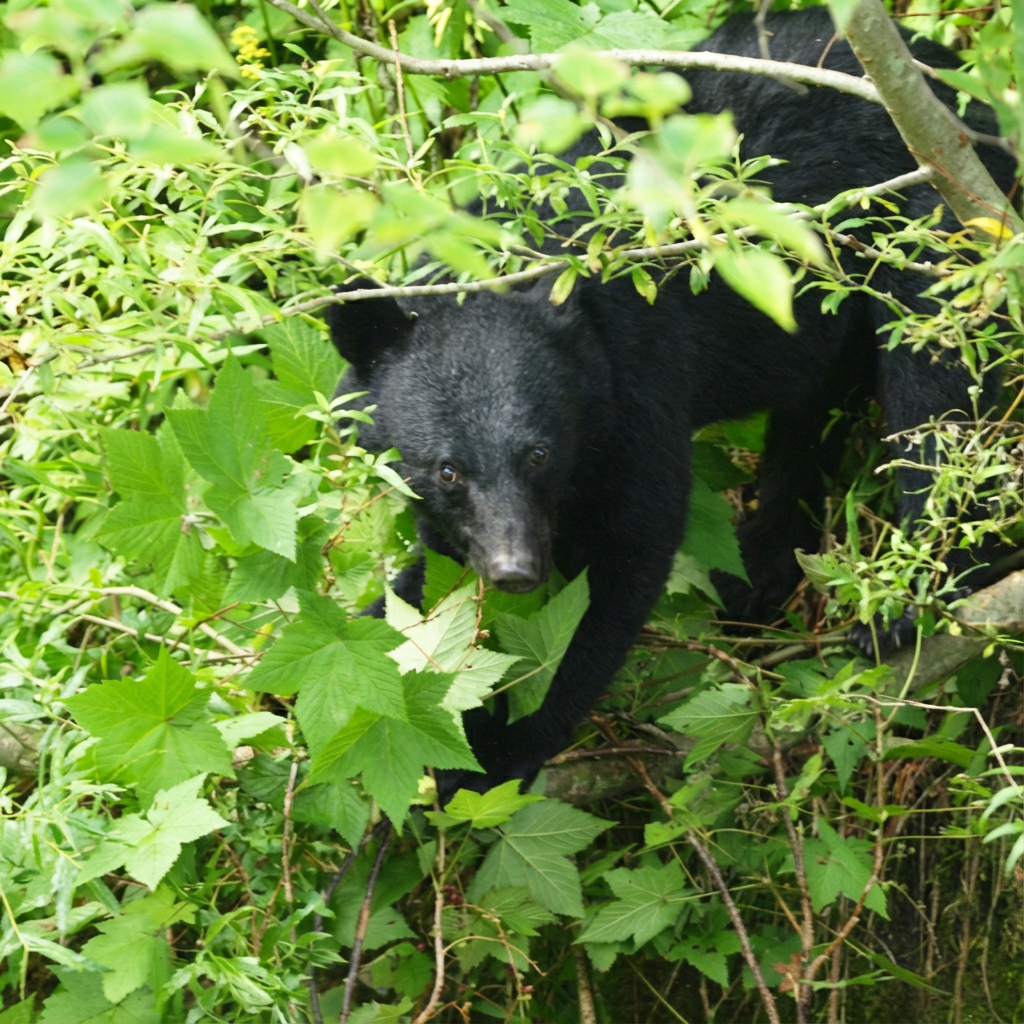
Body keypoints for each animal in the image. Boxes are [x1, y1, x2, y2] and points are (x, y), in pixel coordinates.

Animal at [326, 7, 1016, 796]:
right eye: (448, 469)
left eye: (539, 453)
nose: (515, 569)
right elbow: (433, 573)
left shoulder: (637, 386)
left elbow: (625, 556)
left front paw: (505, 753)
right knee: (811, 410)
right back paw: (760, 567)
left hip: (927, 232)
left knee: (936, 399)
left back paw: (907, 602)